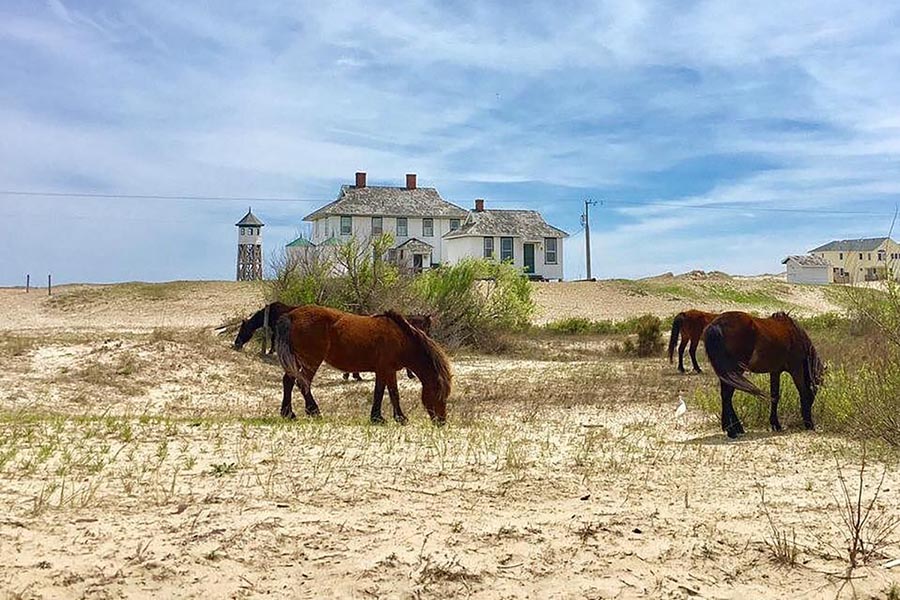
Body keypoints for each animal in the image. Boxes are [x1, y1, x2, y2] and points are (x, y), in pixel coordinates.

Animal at [275, 306, 452, 425]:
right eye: (438, 393)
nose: (441, 421)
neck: (402, 339)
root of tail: (291, 315)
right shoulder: (387, 370)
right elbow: (388, 392)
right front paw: (392, 418)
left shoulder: (385, 371)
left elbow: (385, 392)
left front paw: (384, 417)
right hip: (311, 361)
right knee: (303, 383)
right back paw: (314, 412)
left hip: (298, 361)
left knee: (289, 381)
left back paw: (289, 414)